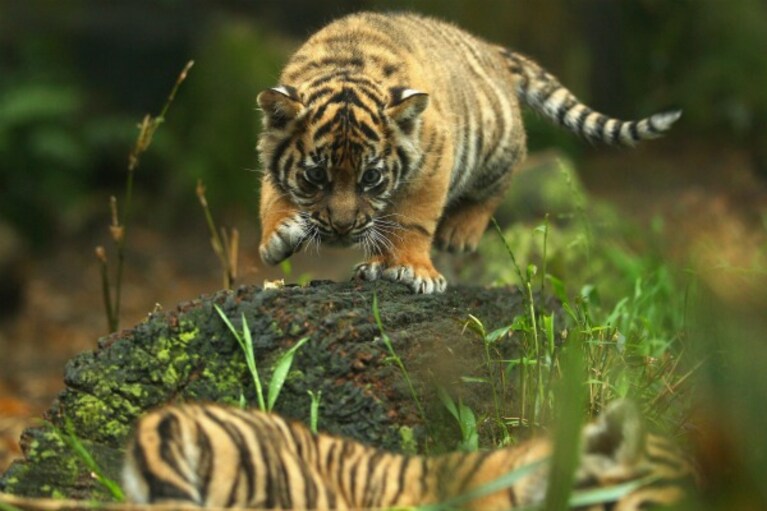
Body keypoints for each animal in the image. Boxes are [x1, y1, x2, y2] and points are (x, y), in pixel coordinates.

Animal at [256, 11, 681, 294]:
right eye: (315, 176)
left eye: (371, 178)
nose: (343, 229)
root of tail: (490, 47)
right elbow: (272, 198)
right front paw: (278, 235)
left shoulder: (432, 161)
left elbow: (411, 219)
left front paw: (411, 269)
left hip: (497, 148)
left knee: (502, 181)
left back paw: (456, 235)